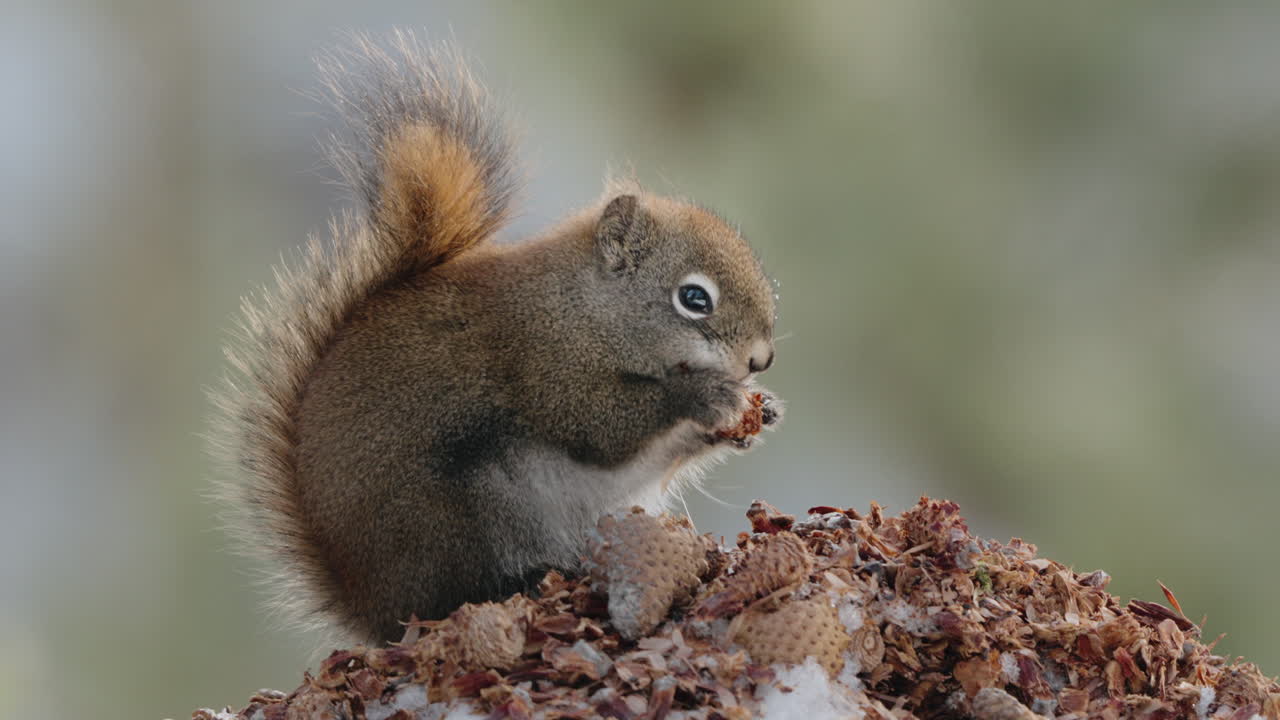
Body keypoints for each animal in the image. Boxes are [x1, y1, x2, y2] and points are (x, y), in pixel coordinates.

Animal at [212, 32, 783, 645]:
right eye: (694, 299)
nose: (761, 359)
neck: (584, 309)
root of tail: (375, 611)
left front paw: (760, 413)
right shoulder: (544, 365)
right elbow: (600, 426)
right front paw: (702, 396)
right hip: (465, 513)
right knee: (462, 588)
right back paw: (524, 580)